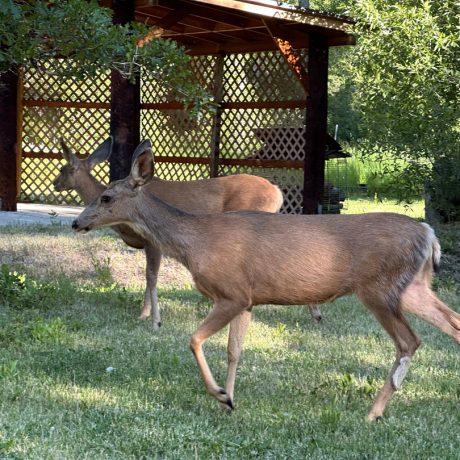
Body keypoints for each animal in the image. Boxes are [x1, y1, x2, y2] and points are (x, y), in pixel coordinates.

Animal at [52, 137, 322, 328]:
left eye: (63, 168)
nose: (55, 184)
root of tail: (278, 191)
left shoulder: (153, 242)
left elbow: (151, 276)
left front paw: (149, 317)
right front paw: (147, 314)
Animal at [72, 144, 460, 420]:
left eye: (106, 197)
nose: (77, 222)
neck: (195, 243)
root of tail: (429, 234)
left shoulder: (232, 293)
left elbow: (195, 339)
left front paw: (220, 395)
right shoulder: (248, 299)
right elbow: (234, 351)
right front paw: (229, 401)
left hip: (380, 289)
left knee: (410, 342)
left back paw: (373, 413)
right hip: (413, 288)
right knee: (452, 323)